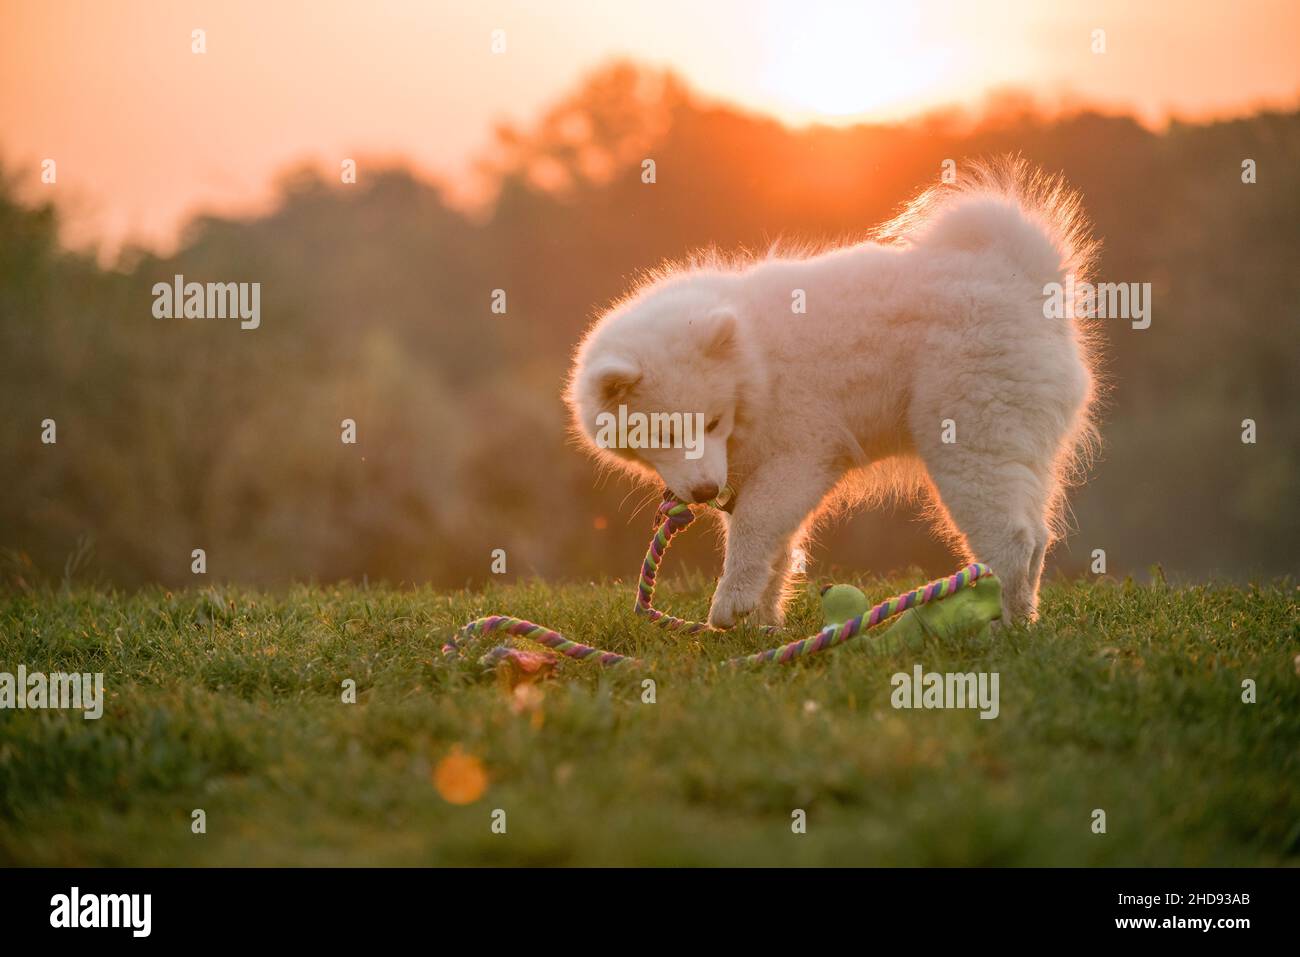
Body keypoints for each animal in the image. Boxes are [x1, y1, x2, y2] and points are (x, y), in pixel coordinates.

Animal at [566, 158, 1097, 629]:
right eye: (663, 435)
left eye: (713, 423)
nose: (704, 493)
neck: (755, 365)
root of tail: (1023, 279)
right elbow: (775, 551)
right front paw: (761, 623)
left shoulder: (800, 456)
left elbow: (753, 528)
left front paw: (729, 604)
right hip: (1023, 446)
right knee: (1038, 537)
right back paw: (1021, 619)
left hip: (971, 441)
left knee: (1012, 540)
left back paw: (1000, 625)